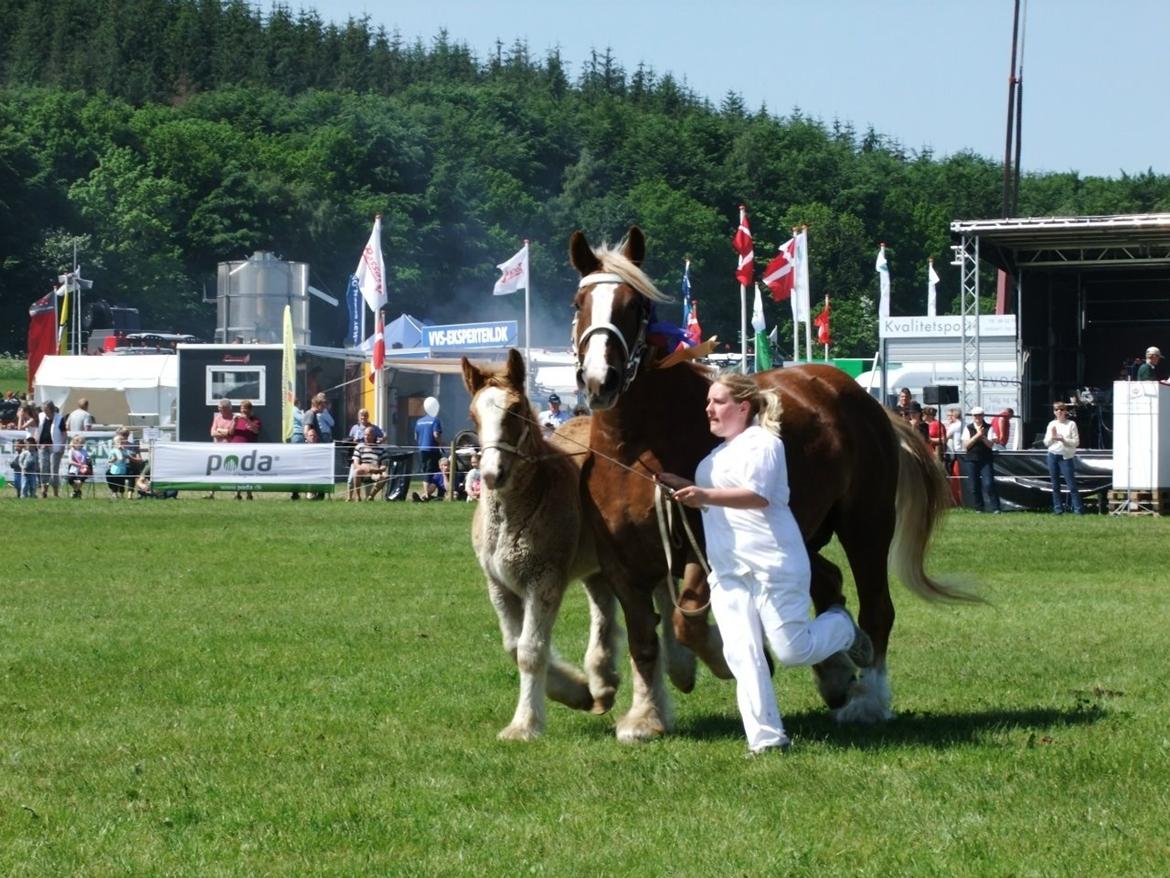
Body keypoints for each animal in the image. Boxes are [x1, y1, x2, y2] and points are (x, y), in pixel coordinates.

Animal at [570, 227, 964, 735]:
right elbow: (643, 639)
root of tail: (866, 401)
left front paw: (719, 660)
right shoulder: (622, 563)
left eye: (635, 305)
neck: (636, 450)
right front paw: (645, 717)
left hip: (867, 525)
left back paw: (868, 696)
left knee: (876, 607)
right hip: (801, 532)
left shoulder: (703, 548)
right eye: (580, 302)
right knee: (828, 583)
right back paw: (837, 668)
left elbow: (687, 623)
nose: (602, 379)